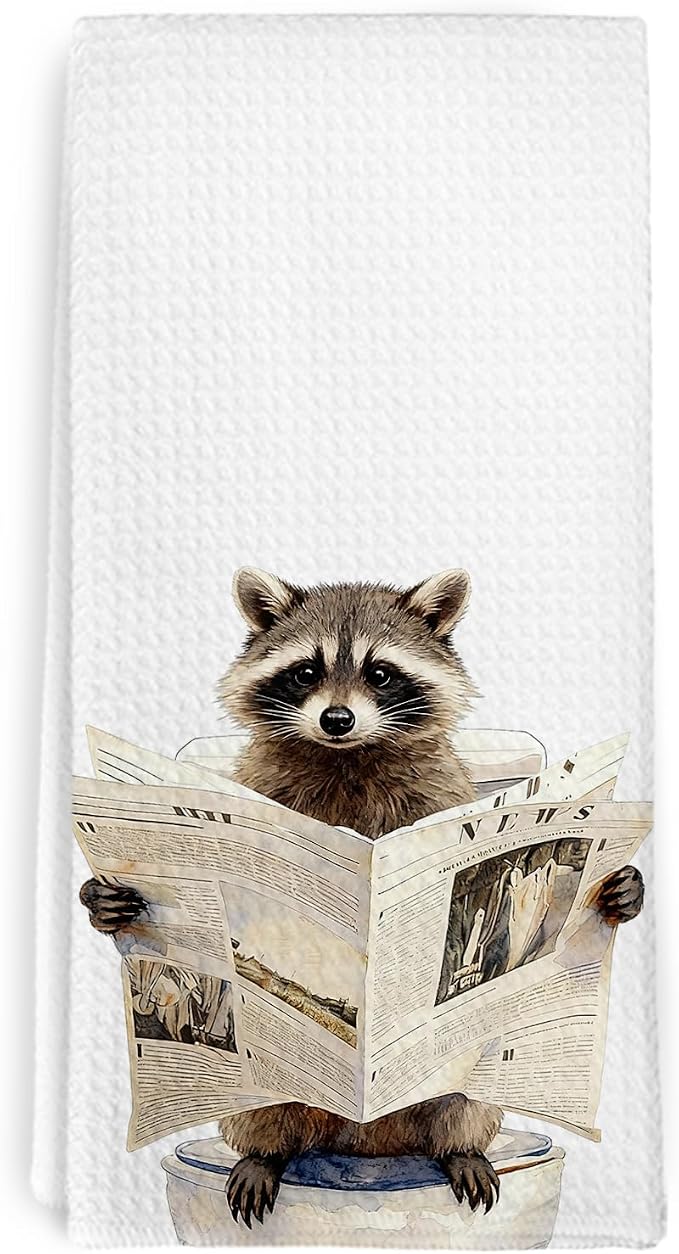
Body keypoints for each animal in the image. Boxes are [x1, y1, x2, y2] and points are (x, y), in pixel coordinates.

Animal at [81, 568, 645, 1227]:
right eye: (306, 671)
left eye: (380, 673)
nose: (337, 718)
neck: (347, 755)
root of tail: (365, 1142)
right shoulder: (259, 789)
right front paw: (107, 900)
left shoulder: (442, 800)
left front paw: (619, 890)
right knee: (260, 1106)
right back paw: (265, 1152)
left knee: (464, 1096)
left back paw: (459, 1146)